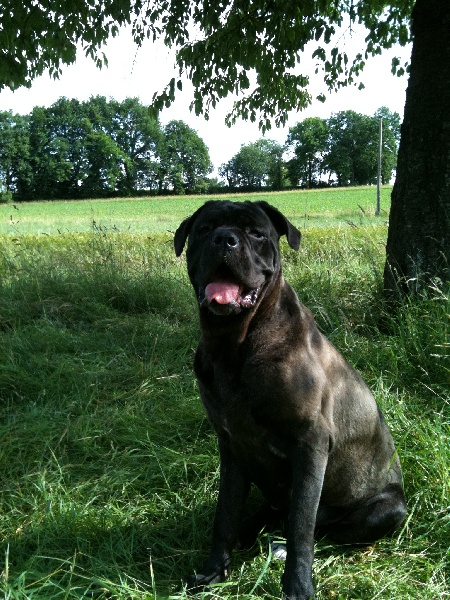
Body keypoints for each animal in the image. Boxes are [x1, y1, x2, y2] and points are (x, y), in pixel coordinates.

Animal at [174, 202, 406, 600]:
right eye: (204, 230)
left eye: (257, 233)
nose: (225, 239)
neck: (234, 346)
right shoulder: (231, 446)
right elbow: (225, 514)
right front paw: (213, 571)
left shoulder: (309, 444)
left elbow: (301, 526)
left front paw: (297, 585)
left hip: (388, 510)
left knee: (322, 529)